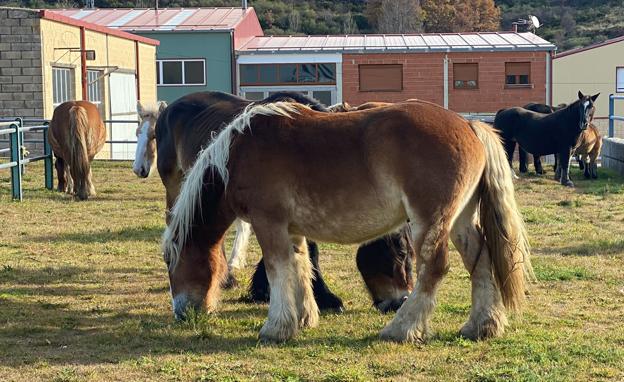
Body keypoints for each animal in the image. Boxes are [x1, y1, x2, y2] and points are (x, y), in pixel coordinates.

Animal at [161, 99, 532, 344]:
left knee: (434, 268)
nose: (182, 312)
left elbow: (278, 270)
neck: (238, 152)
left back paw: (400, 329)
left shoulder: (269, 223)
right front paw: (305, 317)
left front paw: (276, 328)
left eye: (170, 261)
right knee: (480, 260)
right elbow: (301, 267)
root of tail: (469, 125)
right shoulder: (291, 230)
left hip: (430, 220)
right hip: (460, 220)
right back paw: (481, 326)